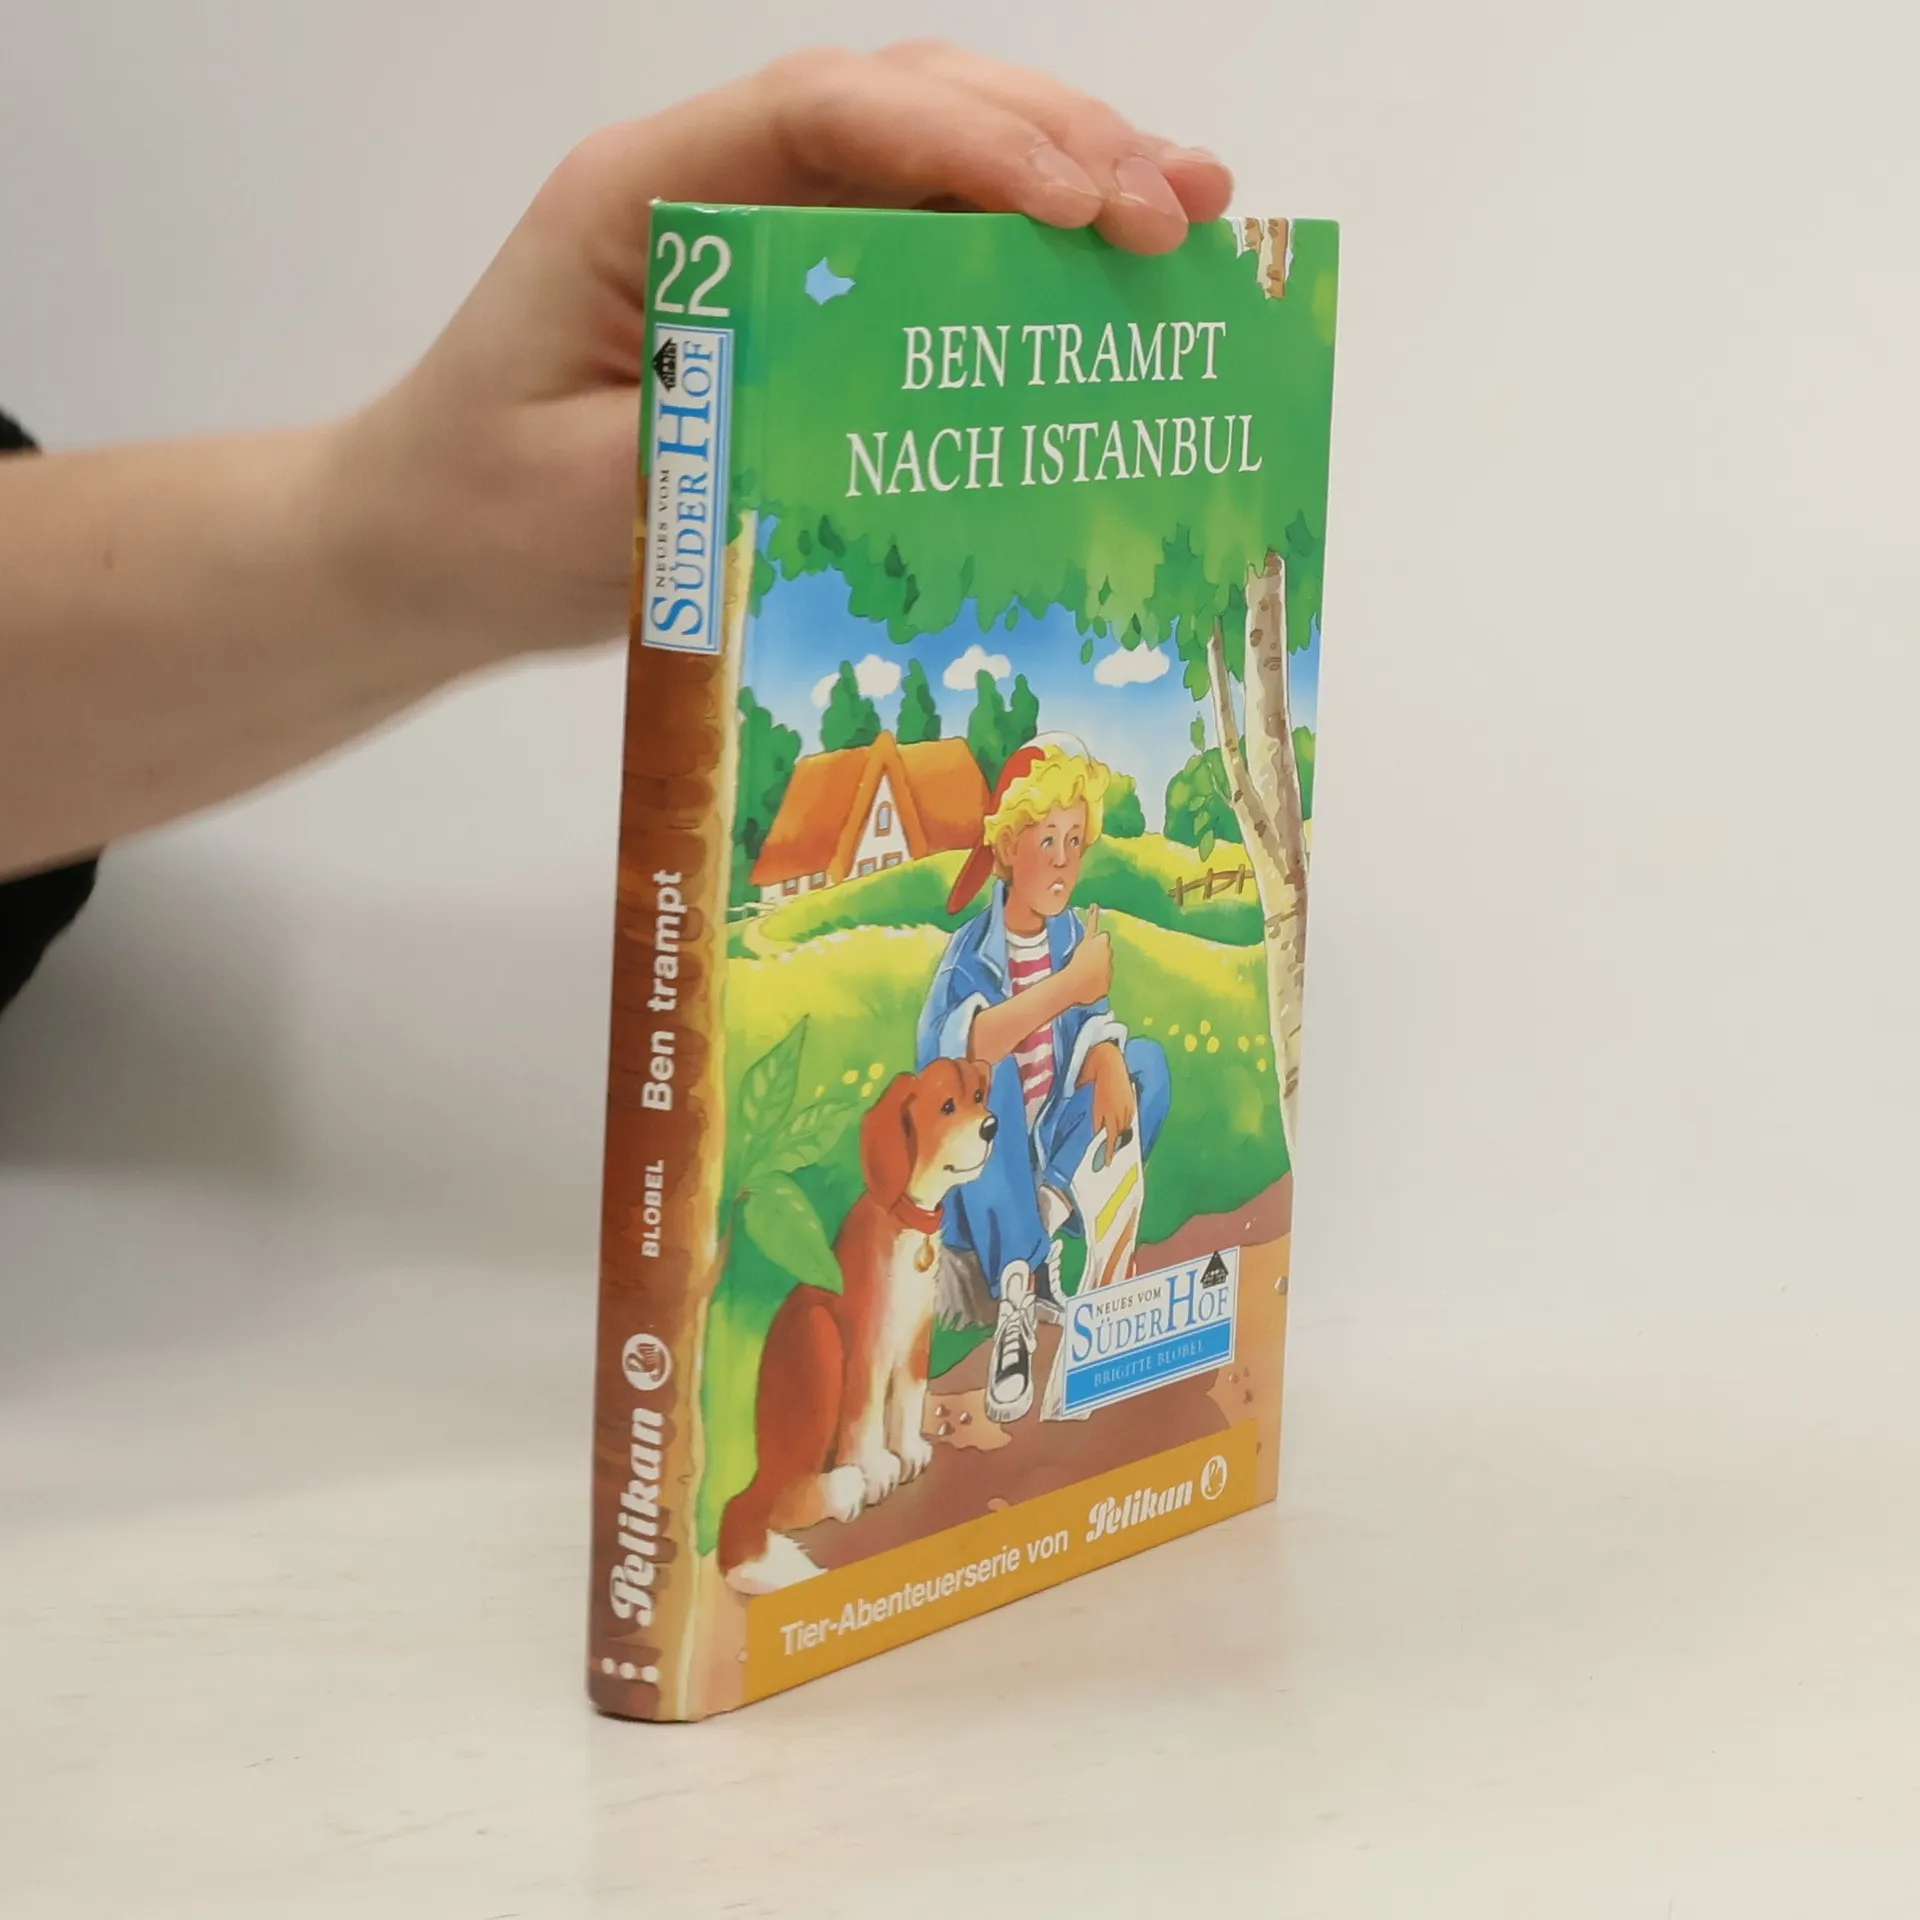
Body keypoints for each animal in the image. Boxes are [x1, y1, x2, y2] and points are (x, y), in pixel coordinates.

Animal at [719, 1056, 997, 1595]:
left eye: (978, 1096)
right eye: (947, 1107)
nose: (992, 1126)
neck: (909, 1224)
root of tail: (762, 1469)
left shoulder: (916, 1338)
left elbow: (908, 1399)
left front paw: (907, 1450)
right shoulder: (866, 1345)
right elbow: (864, 1416)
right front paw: (877, 1468)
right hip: (819, 1338)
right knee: (779, 1502)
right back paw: (842, 1487)